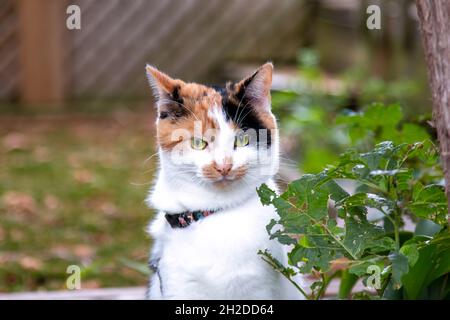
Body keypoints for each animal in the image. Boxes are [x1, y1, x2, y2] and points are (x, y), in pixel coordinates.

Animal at [146, 63, 300, 300]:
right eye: (198, 143)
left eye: (243, 140)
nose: (224, 166)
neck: (215, 212)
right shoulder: (178, 285)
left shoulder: (259, 288)